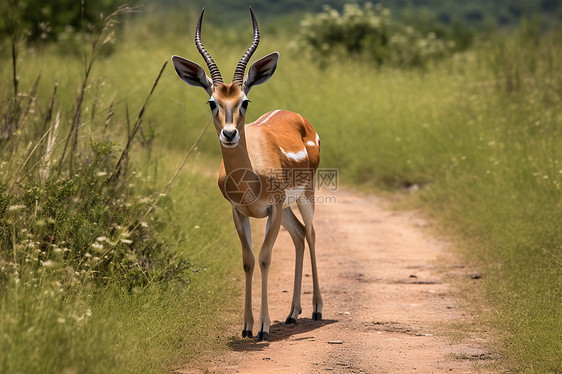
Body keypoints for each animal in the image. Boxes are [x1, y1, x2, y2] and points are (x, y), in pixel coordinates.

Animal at [170, 8, 320, 342]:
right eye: (212, 102)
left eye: (245, 101)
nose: (229, 134)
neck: (250, 176)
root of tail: (299, 118)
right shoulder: (239, 212)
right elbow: (249, 261)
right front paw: (247, 326)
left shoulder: (272, 208)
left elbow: (265, 258)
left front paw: (263, 327)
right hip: (287, 208)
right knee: (299, 236)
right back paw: (292, 314)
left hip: (305, 196)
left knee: (311, 234)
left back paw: (317, 310)